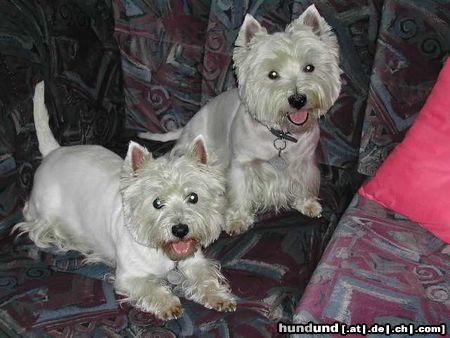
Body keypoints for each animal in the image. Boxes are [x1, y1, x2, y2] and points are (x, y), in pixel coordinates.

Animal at [12, 81, 237, 320]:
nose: (180, 230)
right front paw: (168, 303)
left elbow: (206, 277)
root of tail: (53, 152)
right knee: (37, 227)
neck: (166, 255)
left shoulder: (196, 262)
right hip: (45, 212)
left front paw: (219, 297)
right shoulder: (129, 276)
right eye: (157, 203)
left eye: (193, 197)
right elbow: (149, 287)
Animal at [140, 4, 342, 235]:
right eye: (272, 74)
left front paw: (307, 204)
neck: (281, 133)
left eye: (309, 67)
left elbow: (306, 182)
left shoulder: (305, 162)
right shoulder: (241, 165)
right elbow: (240, 193)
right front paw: (237, 220)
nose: (297, 99)